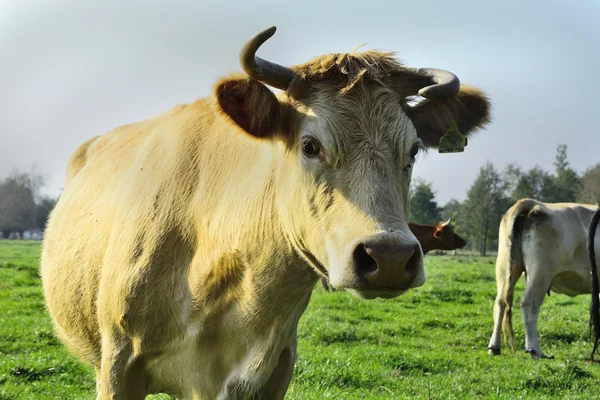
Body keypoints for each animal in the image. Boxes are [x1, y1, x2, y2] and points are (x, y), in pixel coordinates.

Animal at [488, 198, 600, 358]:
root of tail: (531, 203)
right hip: (541, 271)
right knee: (529, 303)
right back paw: (533, 349)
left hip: (505, 266)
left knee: (500, 302)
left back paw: (494, 346)